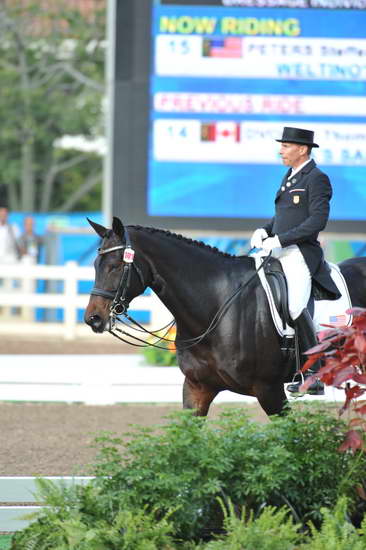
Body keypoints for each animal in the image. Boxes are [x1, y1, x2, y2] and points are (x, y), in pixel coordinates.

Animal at [83, 218, 366, 416]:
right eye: (96, 265)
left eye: (115, 266)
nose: (93, 319)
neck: (217, 303)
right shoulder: (197, 387)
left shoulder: (270, 390)